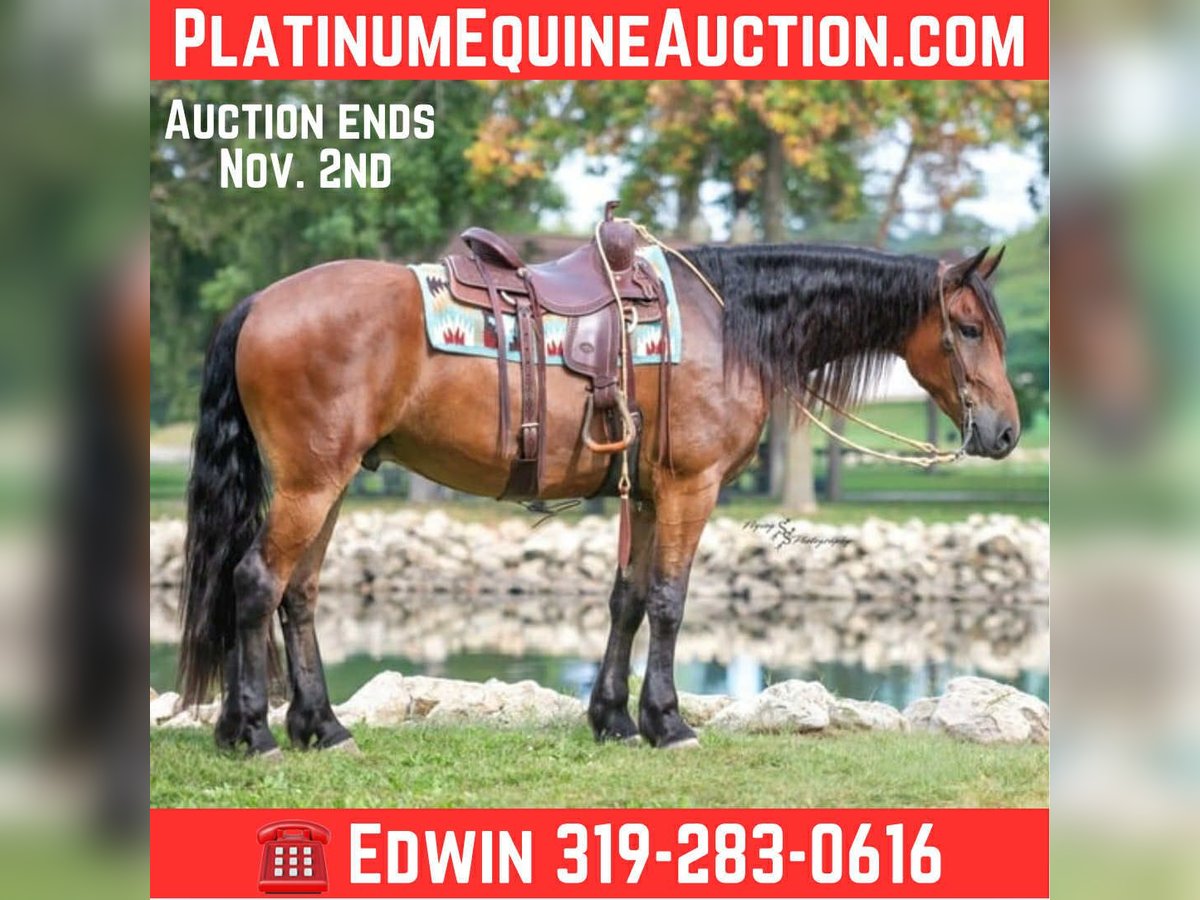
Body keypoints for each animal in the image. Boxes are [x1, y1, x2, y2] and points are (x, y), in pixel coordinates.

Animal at [177, 238, 1018, 756]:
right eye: (969, 329)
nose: (1005, 433)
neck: (729, 324)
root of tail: (258, 303)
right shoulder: (689, 489)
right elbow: (671, 602)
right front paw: (668, 721)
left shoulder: (644, 494)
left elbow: (629, 598)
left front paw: (613, 717)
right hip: (311, 484)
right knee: (255, 582)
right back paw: (252, 732)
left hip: (331, 482)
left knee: (299, 594)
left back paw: (321, 727)